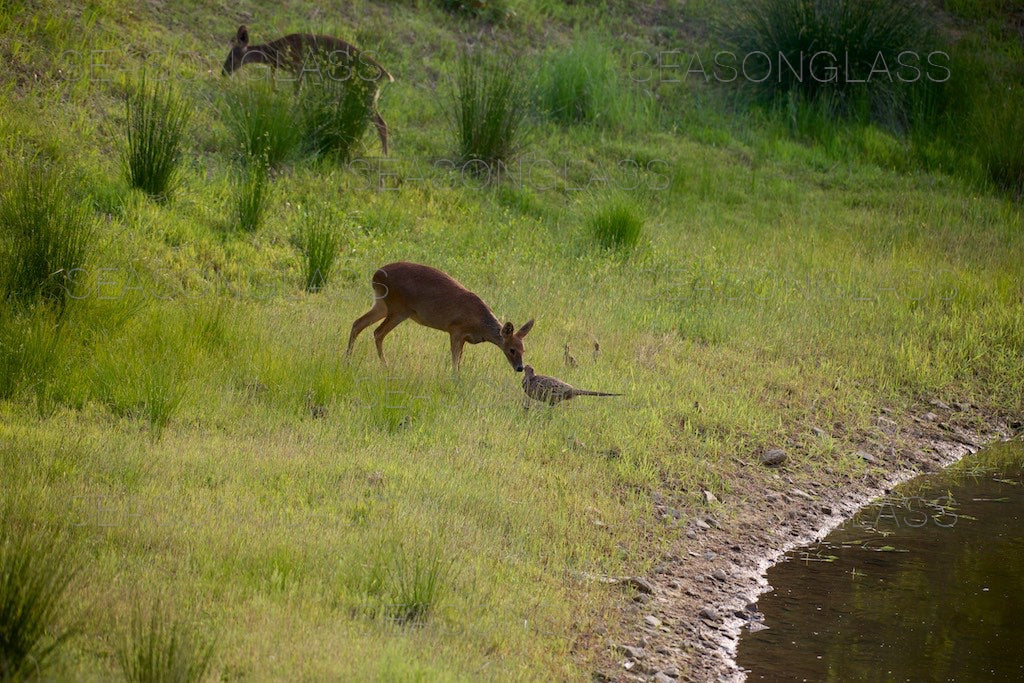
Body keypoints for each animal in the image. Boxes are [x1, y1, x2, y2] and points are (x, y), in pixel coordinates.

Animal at [222, 24, 393, 154]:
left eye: (231, 57)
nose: (223, 72)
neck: (275, 52)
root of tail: (384, 73)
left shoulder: (299, 66)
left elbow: (296, 94)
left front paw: (292, 114)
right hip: (362, 92)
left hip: (366, 92)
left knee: (381, 123)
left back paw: (384, 155)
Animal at [346, 262, 536, 374]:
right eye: (511, 349)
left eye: (524, 349)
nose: (520, 368)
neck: (480, 324)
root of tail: (375, 275)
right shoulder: (455, 329)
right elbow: (454, 358)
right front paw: (455, 378)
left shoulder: (464, 337)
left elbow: (459, 358)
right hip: (398, 308)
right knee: (377, 332)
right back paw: (385, 365)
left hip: (381, 304)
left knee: (357, 323)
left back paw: (347, 358)